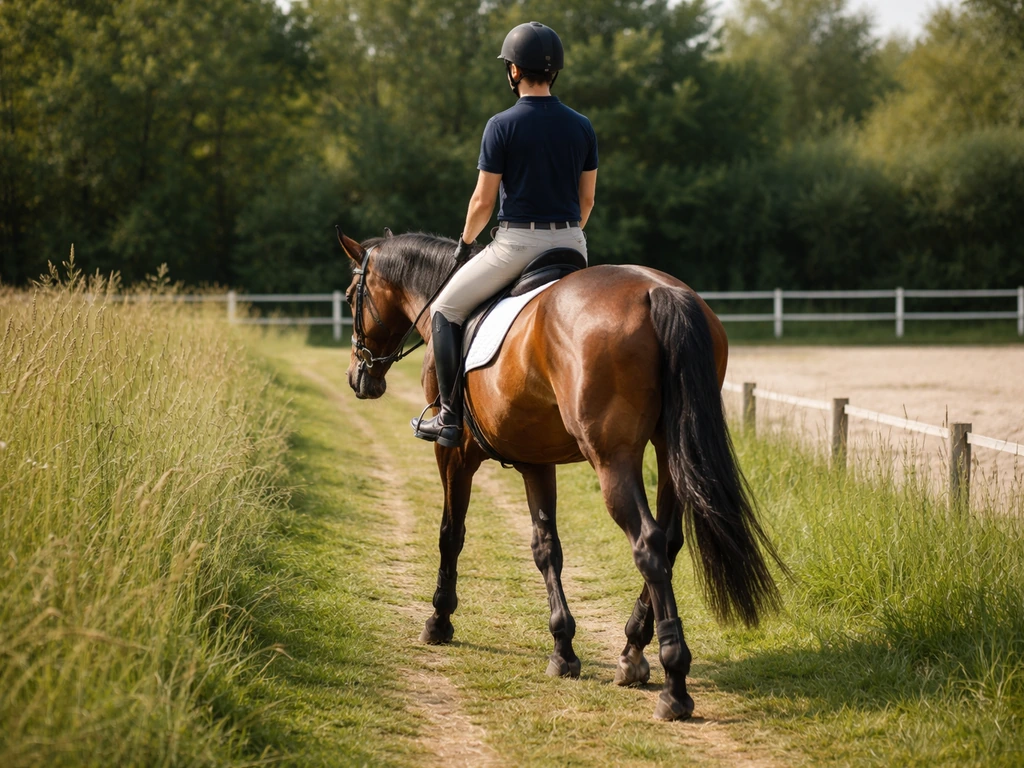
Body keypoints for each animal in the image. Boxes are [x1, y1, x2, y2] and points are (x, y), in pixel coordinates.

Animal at [336, 227, 784, 721]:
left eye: (352, 294)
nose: (359, 377)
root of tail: (657, 291)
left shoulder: (453, 455)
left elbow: (451, 534)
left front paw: (439, 620)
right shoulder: (537, 460)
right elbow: (546, 547)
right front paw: (563, 648)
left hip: (612, 458)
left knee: (648, 543)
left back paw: (674, 685)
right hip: (669, 452)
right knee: (668, 541)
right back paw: (632, 652)